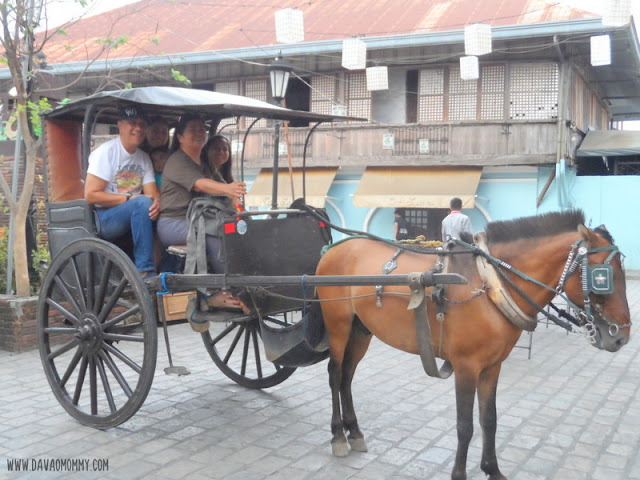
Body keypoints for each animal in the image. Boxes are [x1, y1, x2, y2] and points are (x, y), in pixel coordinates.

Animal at [316, 211, 632, 480]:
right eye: (602, 275)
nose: (621, 336)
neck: (489, 283)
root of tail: (333, 250)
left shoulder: (492, 366)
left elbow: (489, 419)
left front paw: (492, 469)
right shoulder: (466, 367)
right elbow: (464, 426)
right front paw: (460, 474)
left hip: (361, 330)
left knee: (347, 376)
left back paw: (355, 431)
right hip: (338, 325)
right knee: (335, 374)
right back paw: (338, 436)